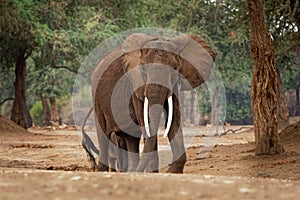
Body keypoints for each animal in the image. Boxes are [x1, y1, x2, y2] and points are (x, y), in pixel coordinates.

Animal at [81, 32, 213, 173]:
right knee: (104, 135)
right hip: (96, 97)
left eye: (174, 69)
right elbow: (146, 121)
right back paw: (105, 170)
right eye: (143, 68)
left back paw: (131, 170)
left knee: (131, 138)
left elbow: (174, 119)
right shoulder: (135, 85)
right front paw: (153, 173)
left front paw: (172, 172)